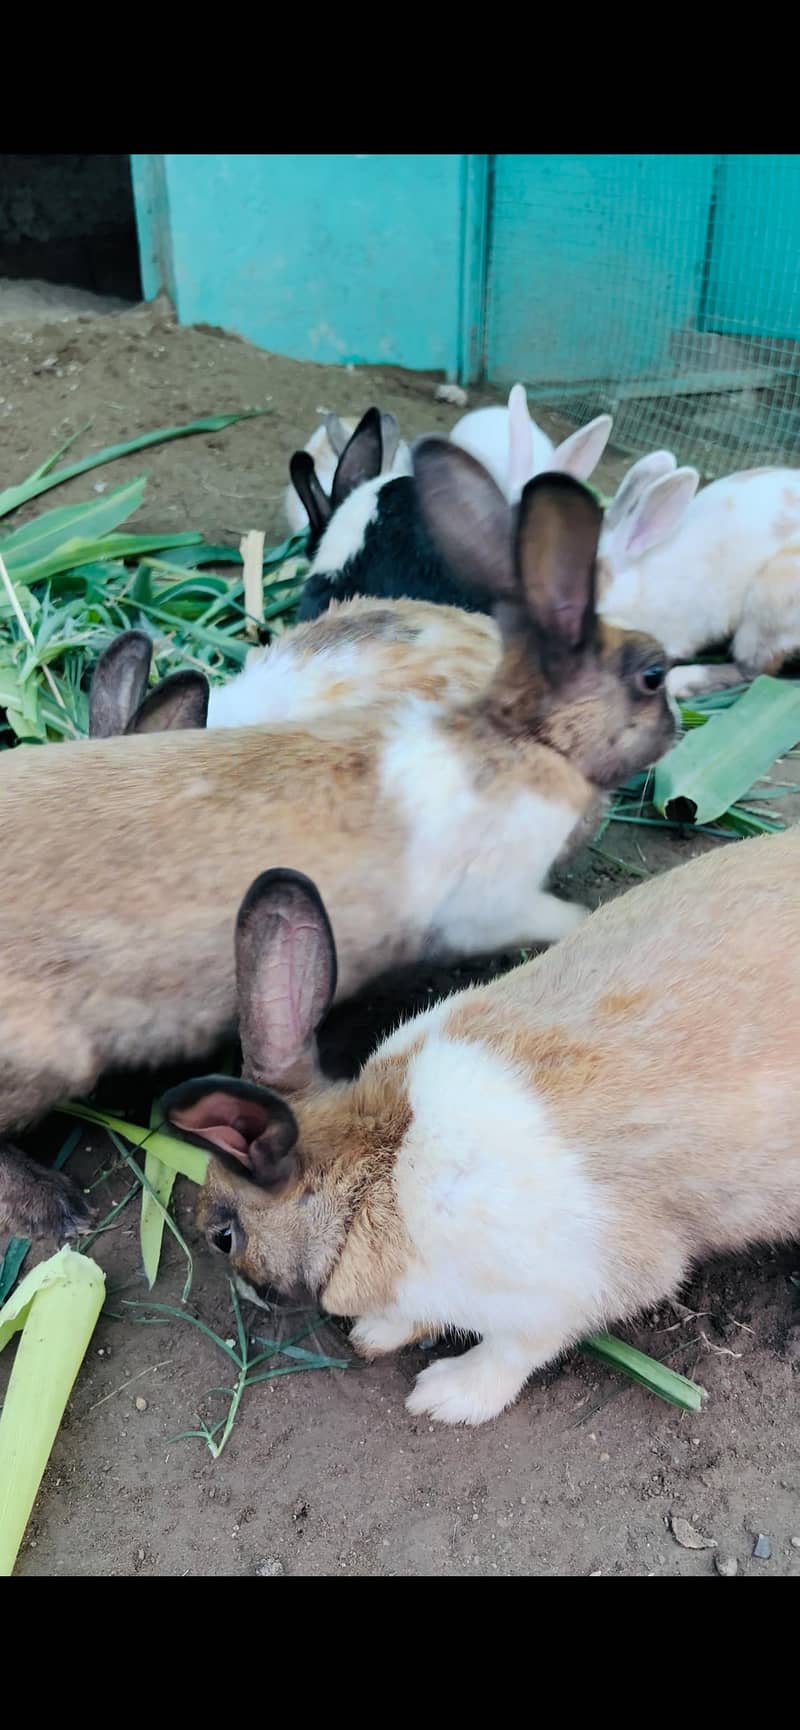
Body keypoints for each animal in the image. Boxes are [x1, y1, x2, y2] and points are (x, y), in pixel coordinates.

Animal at [165, 823, 800, 1427]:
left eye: (224, 1237)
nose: (244, 1288)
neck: (376, 1170)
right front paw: (378, 1335)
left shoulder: (576, 1288)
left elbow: (514, 1350)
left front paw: (446, 1396)